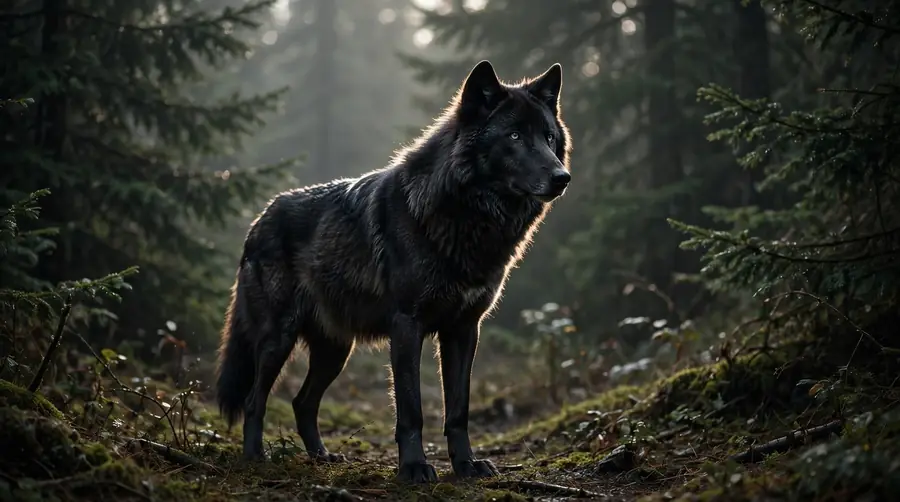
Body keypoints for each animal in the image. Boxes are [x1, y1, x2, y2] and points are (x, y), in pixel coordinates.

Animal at [215, 60, 572, 483]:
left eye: (549, 137)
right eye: (515, 135)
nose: (562, 177)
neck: (466, 217)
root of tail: (259, 219)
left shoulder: (464, 330)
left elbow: (458, 410)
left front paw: (466, 465)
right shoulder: (407, 325)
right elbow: (411, 408)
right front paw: (414, 467)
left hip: (336, 350)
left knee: (303, 402)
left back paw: (322, 457)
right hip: (278, 339)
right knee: (256, 400)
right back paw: (255, 458)